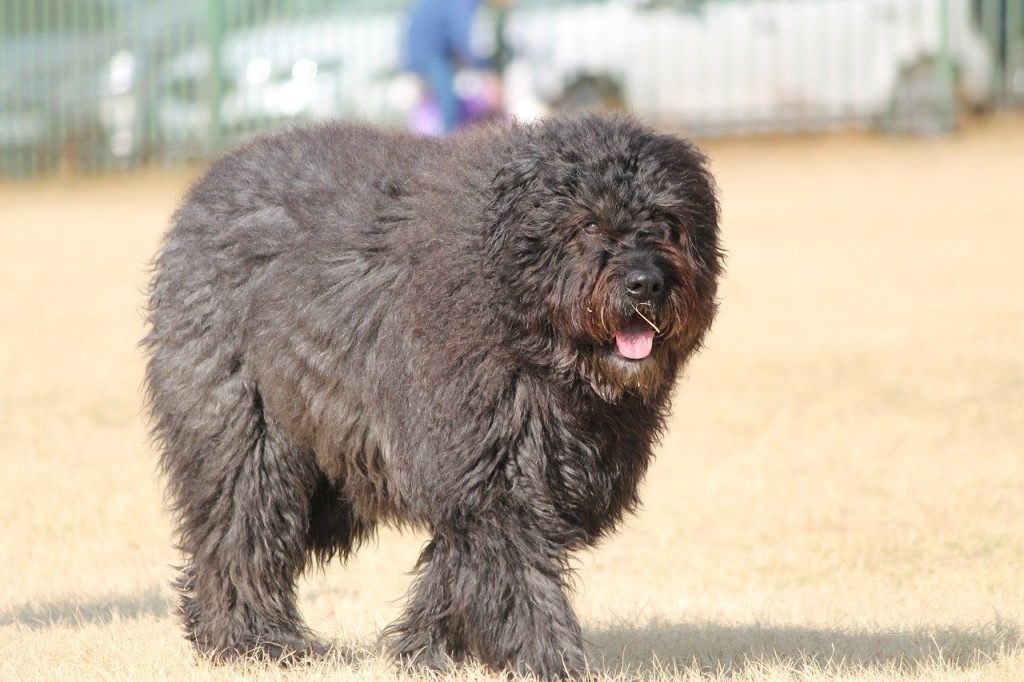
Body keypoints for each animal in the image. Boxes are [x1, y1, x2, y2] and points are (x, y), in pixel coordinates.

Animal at [142, 114, 720, 675]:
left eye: (668, 224)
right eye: (589, 222)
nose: (645, 283)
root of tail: (212, 182)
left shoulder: (508, 475)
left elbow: (457, 570)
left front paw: (423, 649)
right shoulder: (492, 475)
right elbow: (516, 579)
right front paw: (551, 659)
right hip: (246, 433)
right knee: (239, 531)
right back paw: (254, 640)